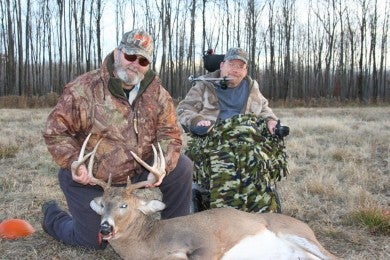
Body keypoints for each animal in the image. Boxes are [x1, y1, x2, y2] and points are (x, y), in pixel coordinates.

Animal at [75, 134, 338, 260]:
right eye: (102, 204)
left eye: (124, 205)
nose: (105, 228)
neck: (152, 245)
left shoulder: (208, 242)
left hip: (297, 233)